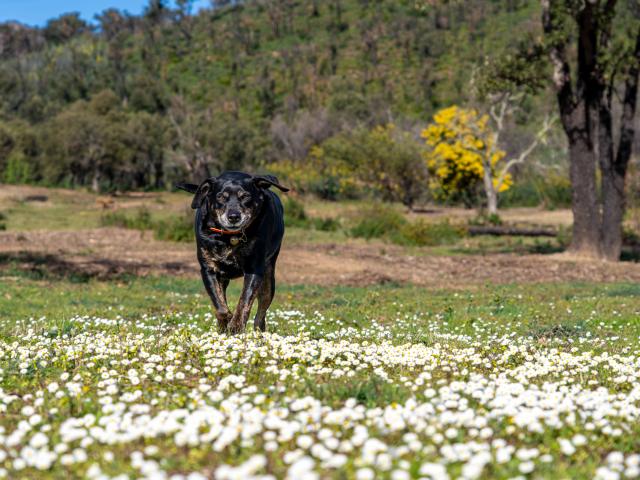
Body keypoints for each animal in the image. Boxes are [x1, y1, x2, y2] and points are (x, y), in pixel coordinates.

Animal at [179, 172, 292, 334]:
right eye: (220, 196)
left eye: (245, 196)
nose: (233, 216)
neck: (230, 237)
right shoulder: (208, 269)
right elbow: (219, 305)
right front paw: (226, 321)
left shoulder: (254, 269)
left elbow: (245, 300)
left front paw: (236, 326)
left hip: (268, 279)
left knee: (261, 312)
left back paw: (259, 331)